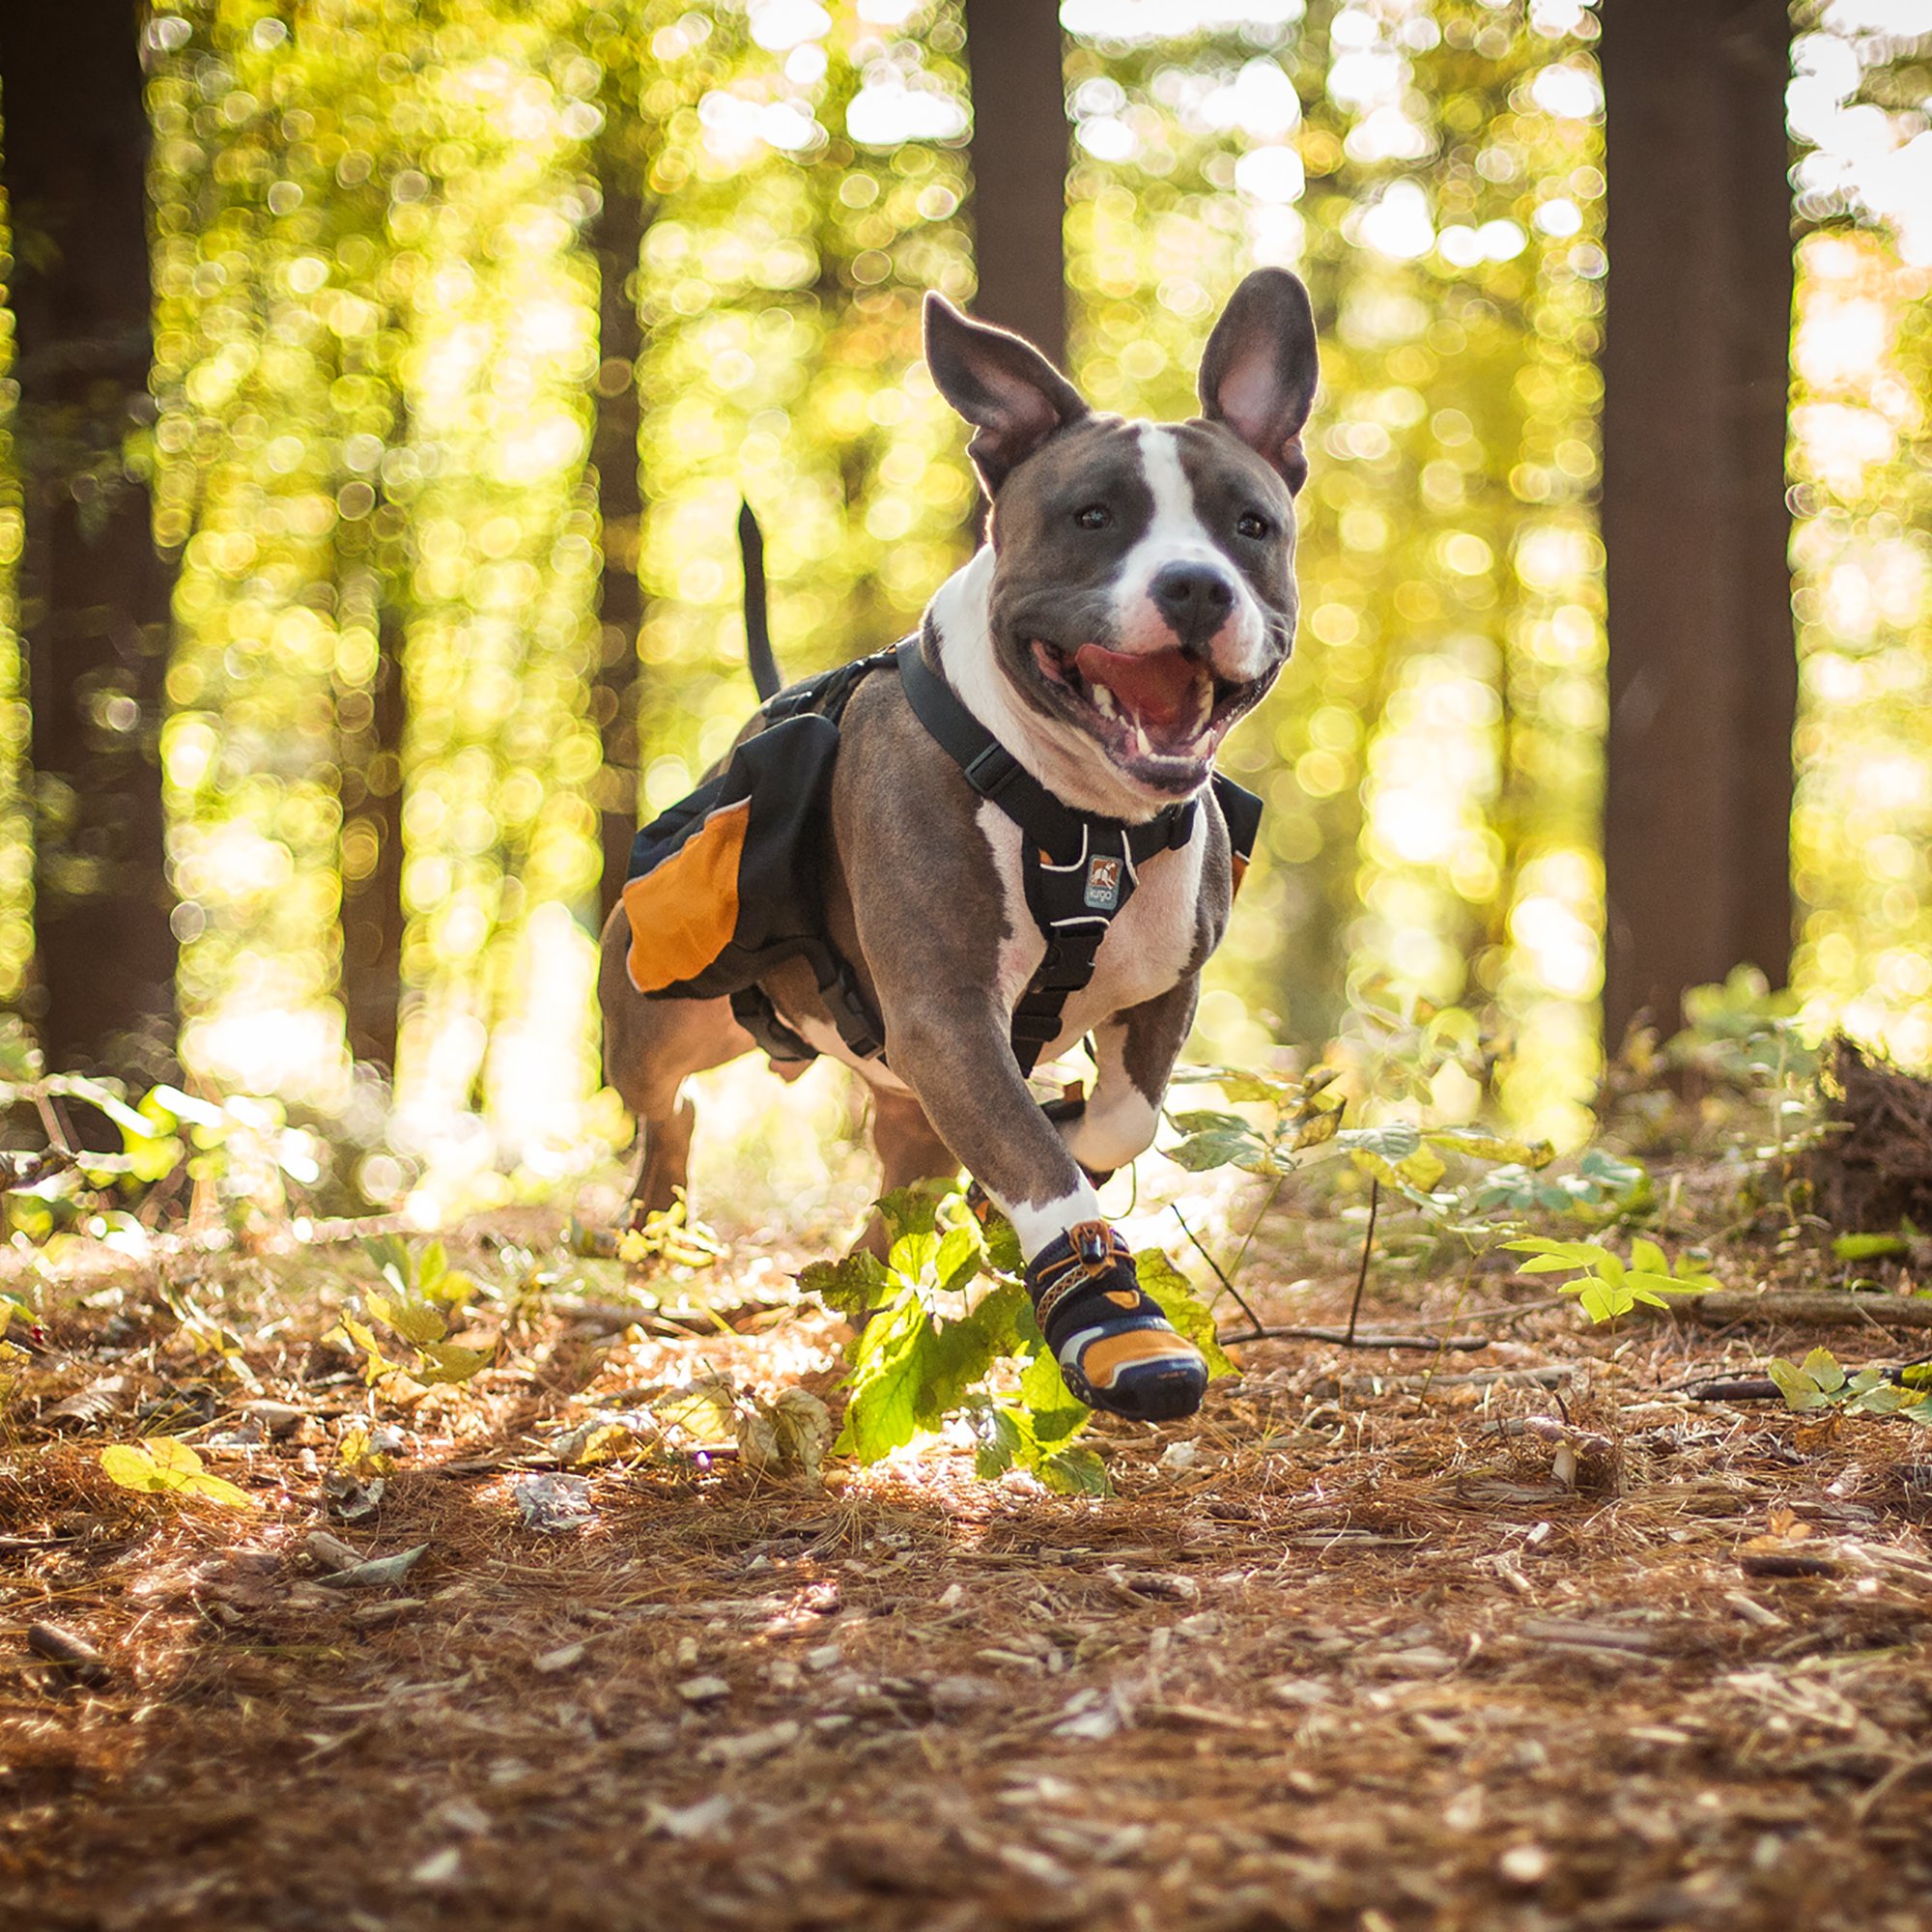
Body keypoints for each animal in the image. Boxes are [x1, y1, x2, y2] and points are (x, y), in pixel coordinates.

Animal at [595, 269, 1314, 1422]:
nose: (1196, 584)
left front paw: (1065, 1136)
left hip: (896, 1094)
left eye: (1249, 525)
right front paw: (1109, 1313)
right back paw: (657, 1220)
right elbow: (1040, 1164)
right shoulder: (946, 1015)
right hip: (662, 1012)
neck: (1078, 812)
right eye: (1092, 516)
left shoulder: (1164, 986)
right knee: (668, 1105)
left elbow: (1116, 1122)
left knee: (895, 1176)